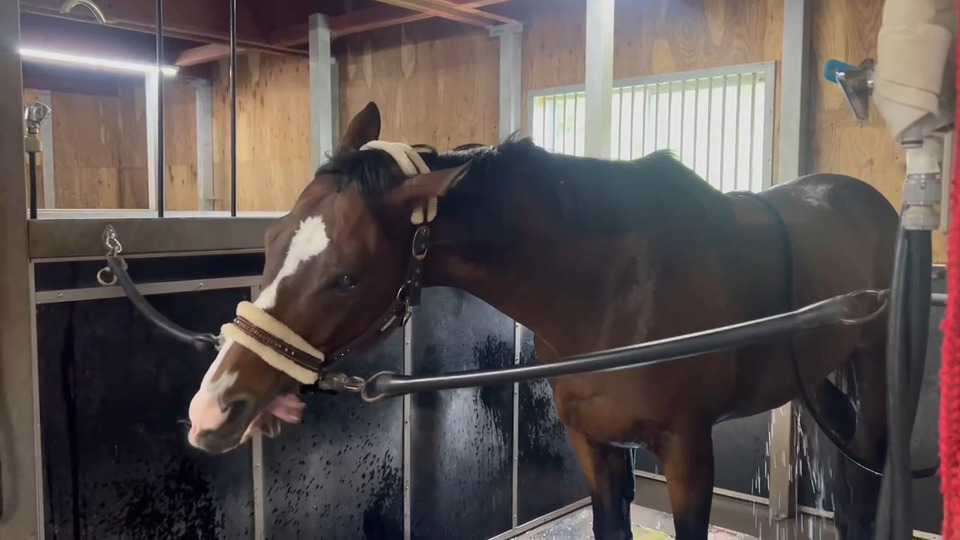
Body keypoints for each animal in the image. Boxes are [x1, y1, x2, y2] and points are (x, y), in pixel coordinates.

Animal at [186, 101, 895, 539]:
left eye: (348, 277)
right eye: (271, 239)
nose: (212, 408)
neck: (614, 289)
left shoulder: (689, 452)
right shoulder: (594, 447)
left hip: (873, 368)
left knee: (869, 471)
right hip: (818, 378)